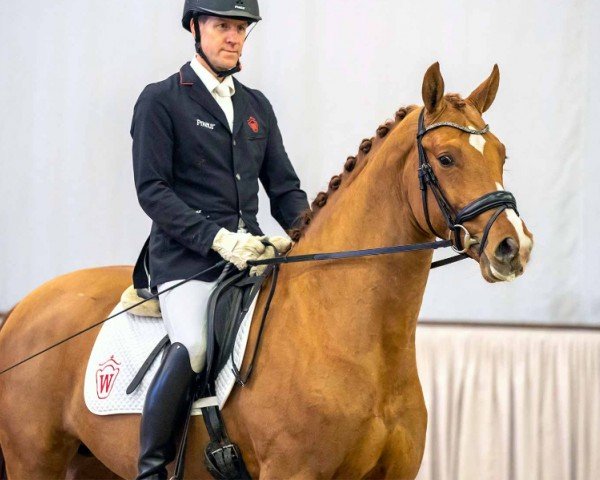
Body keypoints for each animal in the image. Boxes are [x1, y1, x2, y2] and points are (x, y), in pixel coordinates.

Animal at [0, 64, 536, 480]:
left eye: (502, 154)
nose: (514, 247)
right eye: (445, 158)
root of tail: (25, 307)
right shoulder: (293, 470)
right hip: (33, 462)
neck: (354, 340)